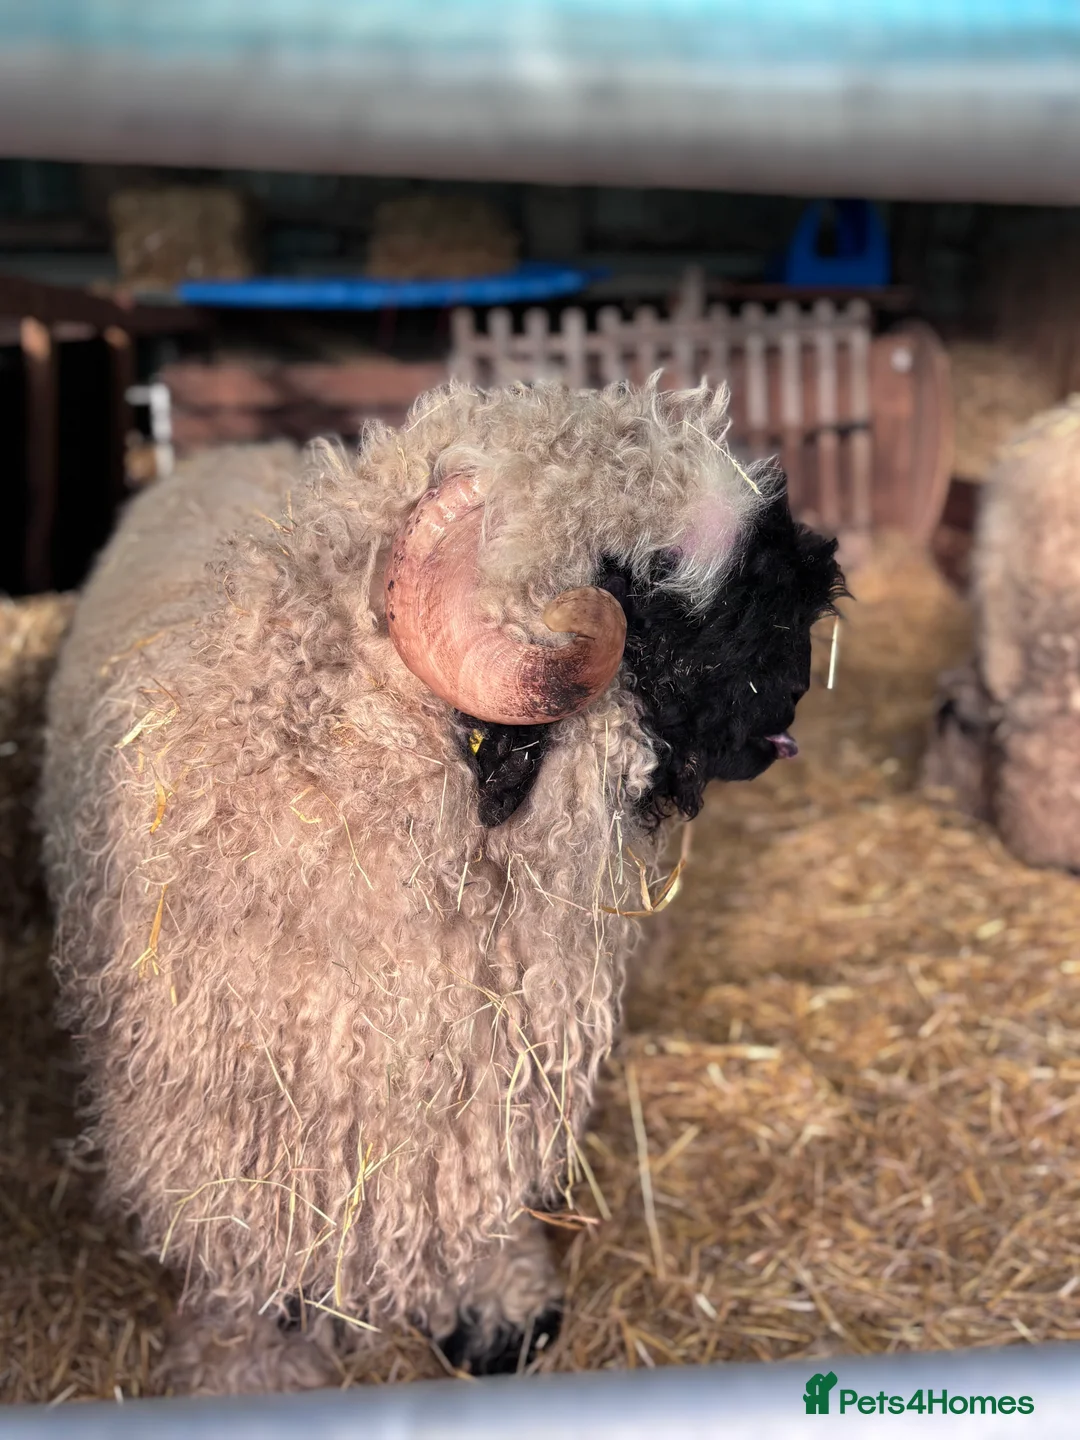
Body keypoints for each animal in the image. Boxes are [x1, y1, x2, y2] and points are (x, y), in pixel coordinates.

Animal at [39, 379, 843, 1393]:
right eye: (657, 580)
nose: (827, 580)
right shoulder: (226, 1124)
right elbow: (242, 1266)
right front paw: (244, 1365)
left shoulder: (489, 1083)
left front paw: (496, 1305)